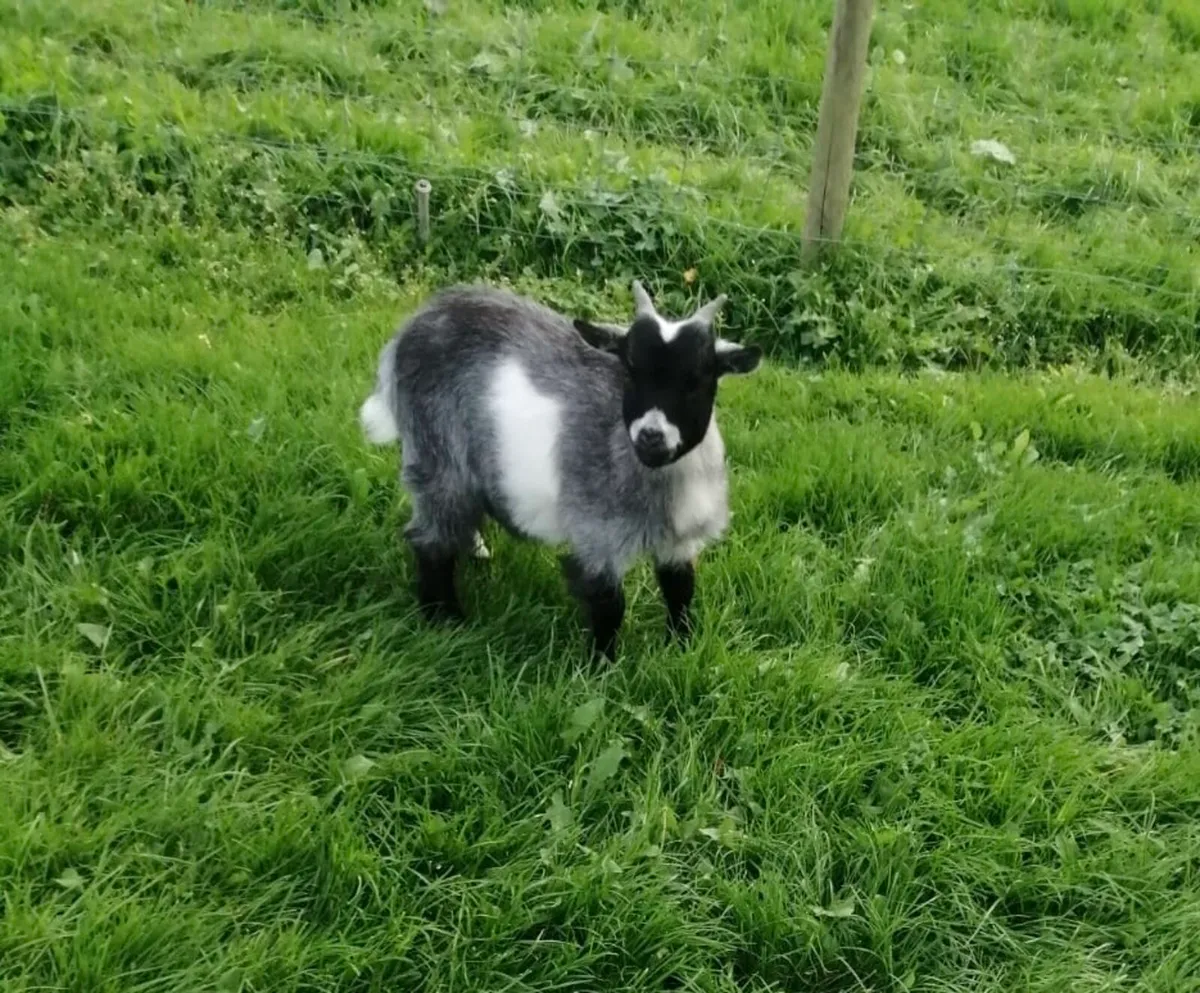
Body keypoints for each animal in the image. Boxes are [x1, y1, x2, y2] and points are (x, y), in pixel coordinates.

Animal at [359, 279, 761, 658]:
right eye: (630, 371)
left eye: (697, 379)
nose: (651, 436)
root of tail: (412, 325)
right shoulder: (596, 535)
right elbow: (609, 606)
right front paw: (602, 666)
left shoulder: (677, 542)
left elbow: (680, 591)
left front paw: (681, 645)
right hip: (435, 452)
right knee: (430, 540)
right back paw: (445, 620)